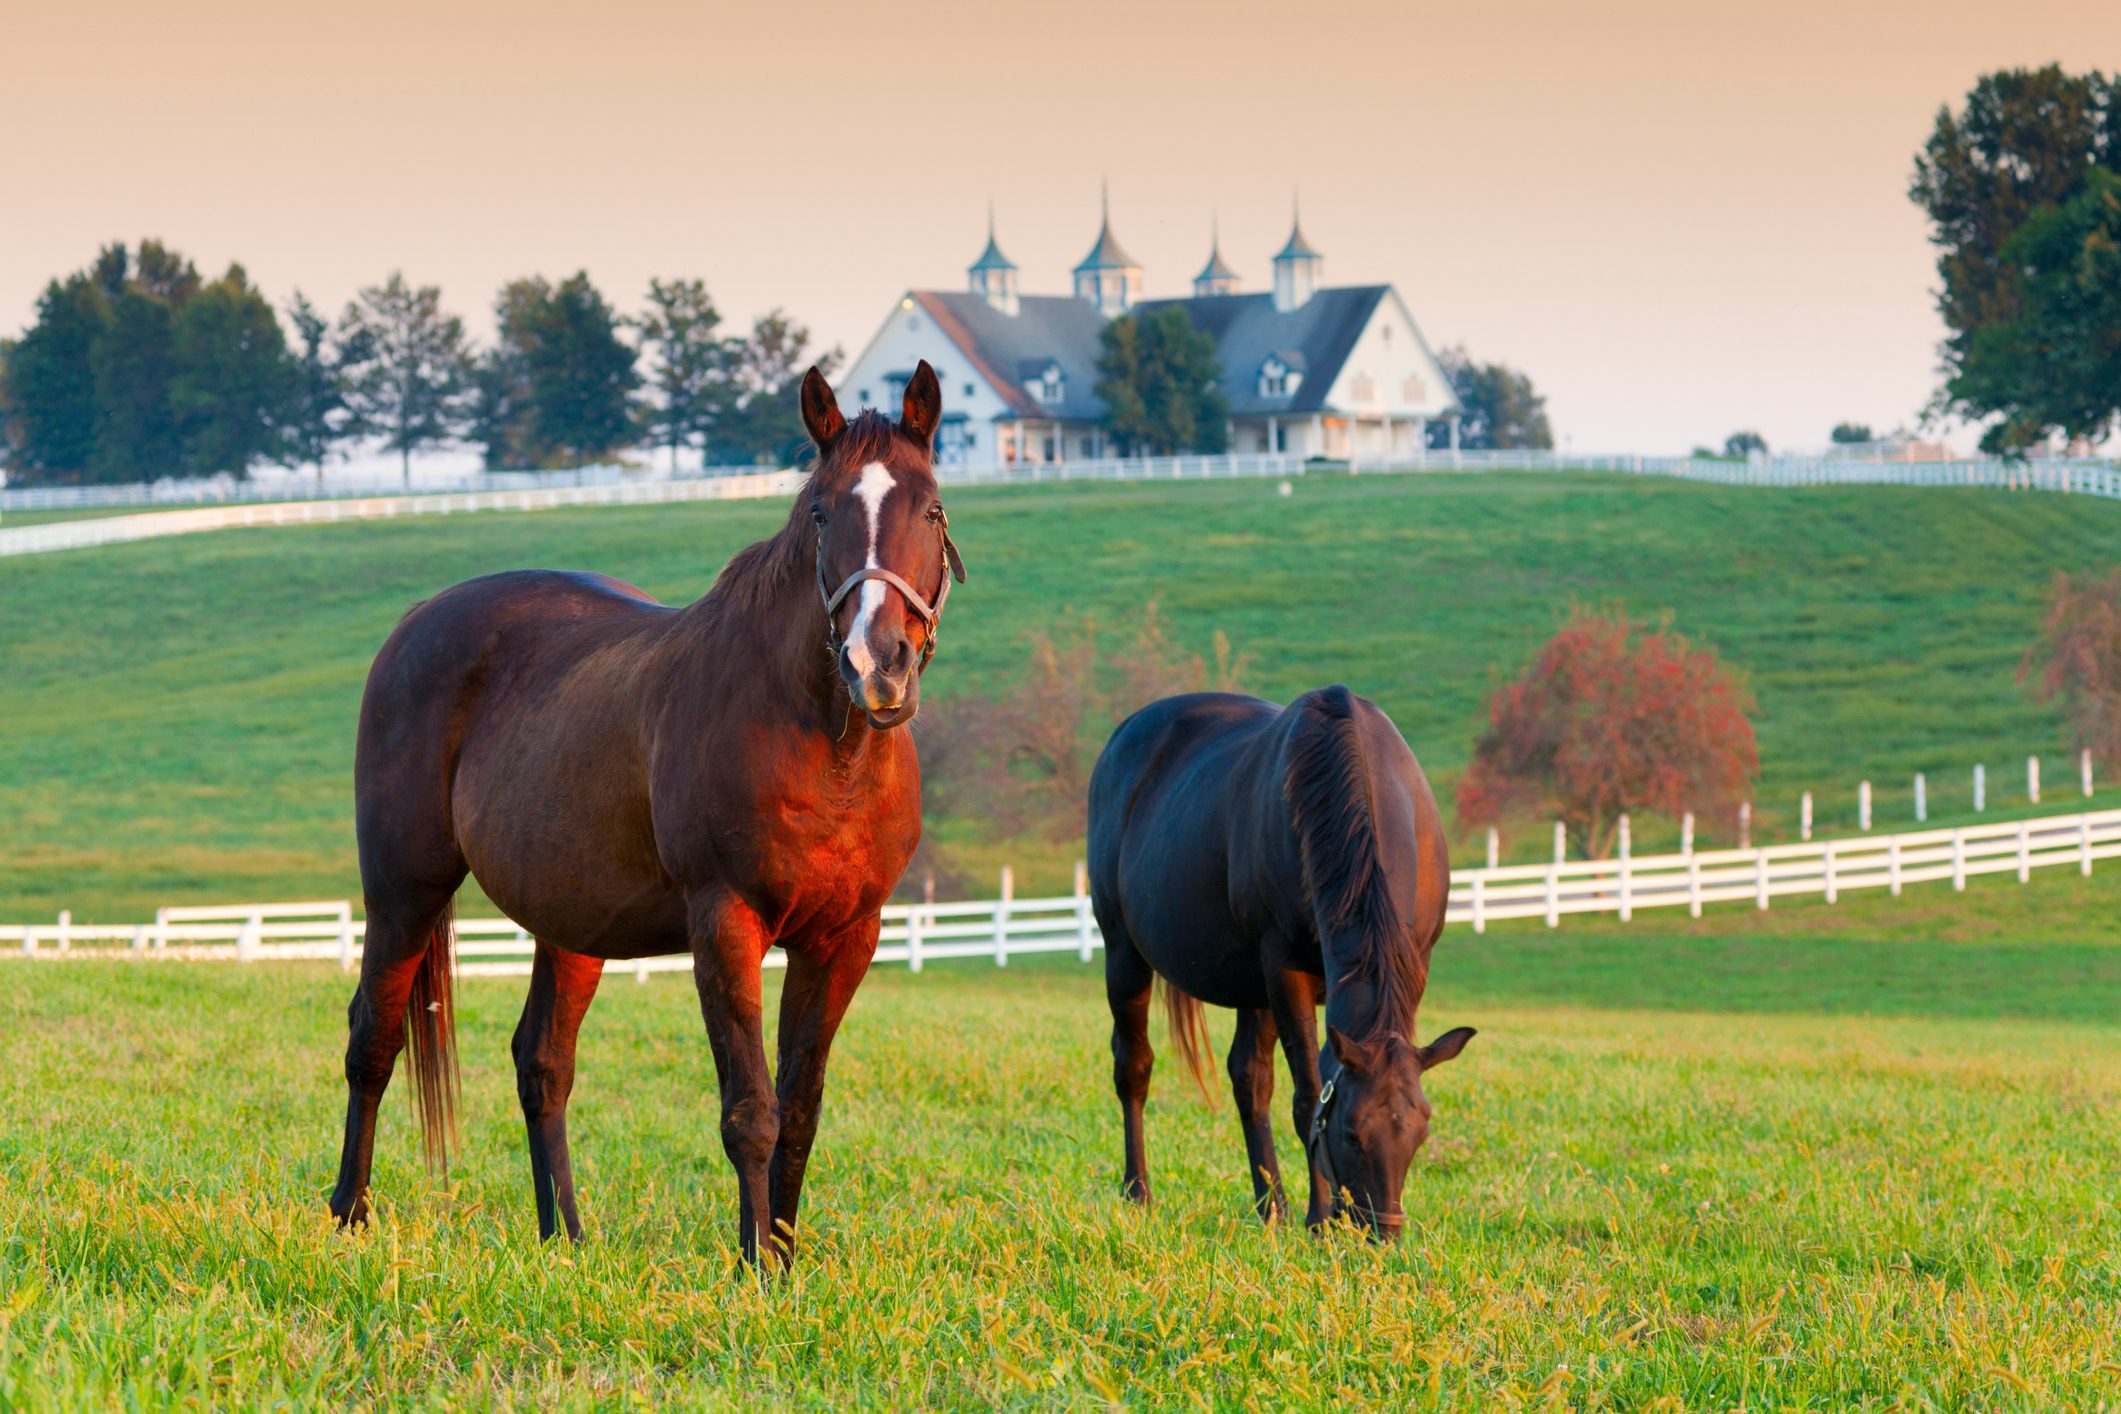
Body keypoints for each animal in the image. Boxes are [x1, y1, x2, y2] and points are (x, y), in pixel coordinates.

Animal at [327, 361, 967, 1266]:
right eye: (820, 511)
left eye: (931, 509)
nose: (877, 665)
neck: (822, 746)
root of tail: (419, 620)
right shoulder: (726, 923)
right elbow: (751, 1111)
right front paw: (754, 1269)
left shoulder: (845, 938)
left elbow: (800, 1109)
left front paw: (783, 1258)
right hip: (403, 892)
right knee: (373, 1041)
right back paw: (349, 1214)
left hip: (569, 921)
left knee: (542, 1063)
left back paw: (564, 1237)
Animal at [1085, 685, 1475, 1237]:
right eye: (1351, 1133)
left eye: (1420, 1132)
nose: (1381, 1233)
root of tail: (1124, 736)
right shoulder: (1284, 970)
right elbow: (1308, 1096)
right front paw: (1319, 1218)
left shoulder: (1410, 966)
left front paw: (1307, 1212)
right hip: (1124, 953)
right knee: (1133, 1067)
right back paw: (1138, 1191)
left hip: (1251, 986)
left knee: (1249, 1080)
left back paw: (1271, 1206)